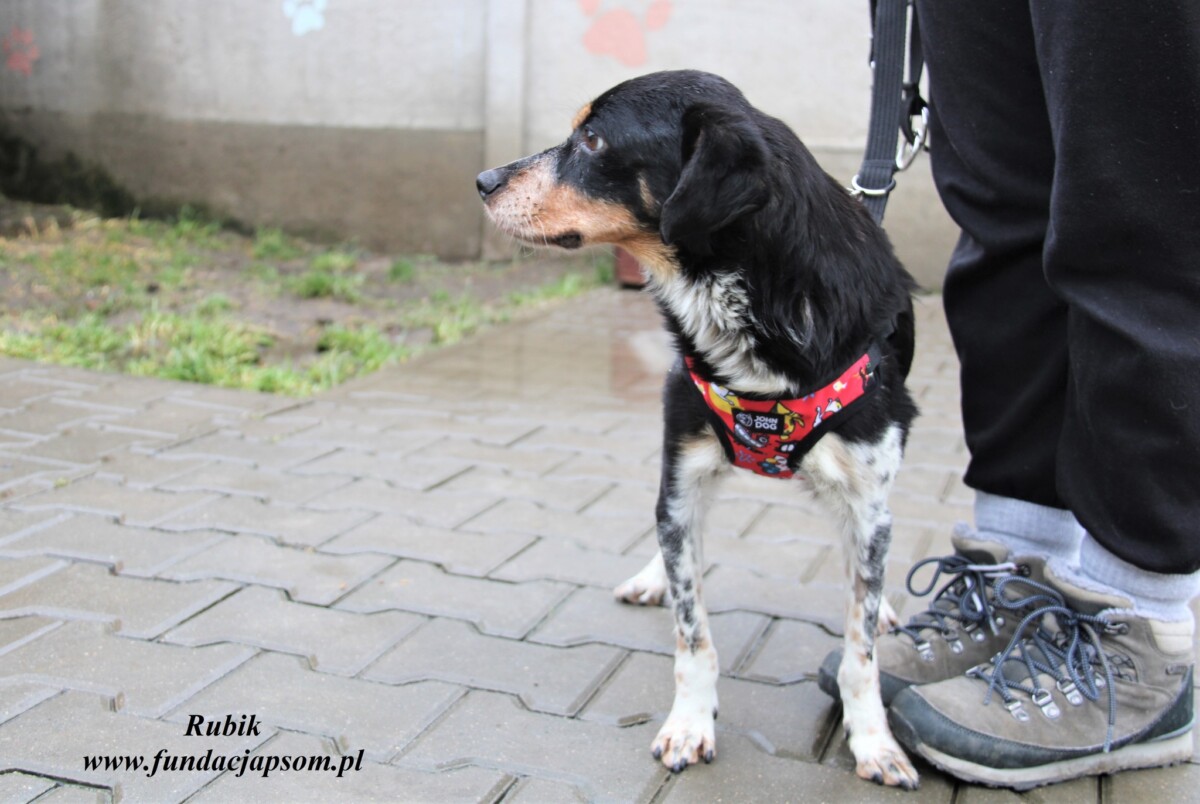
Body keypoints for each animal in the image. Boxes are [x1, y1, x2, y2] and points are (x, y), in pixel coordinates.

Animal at [476, 70, 919, 788]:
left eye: (592, 139)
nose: (483, 180)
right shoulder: (682, 471)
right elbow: (693, 632)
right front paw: (689, 722)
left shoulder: (868, 495)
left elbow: (860, 649)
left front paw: (875, 739)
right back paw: (655, 574)